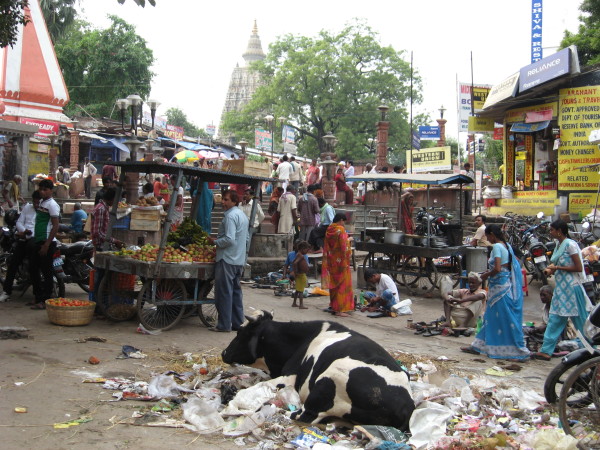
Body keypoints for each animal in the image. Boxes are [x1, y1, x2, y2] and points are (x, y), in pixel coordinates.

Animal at [220, 312, 412, 430]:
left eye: (240, 332)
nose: (224, 353)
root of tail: (406, 407)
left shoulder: (289, 378)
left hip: (331, 377)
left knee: (304, 415)